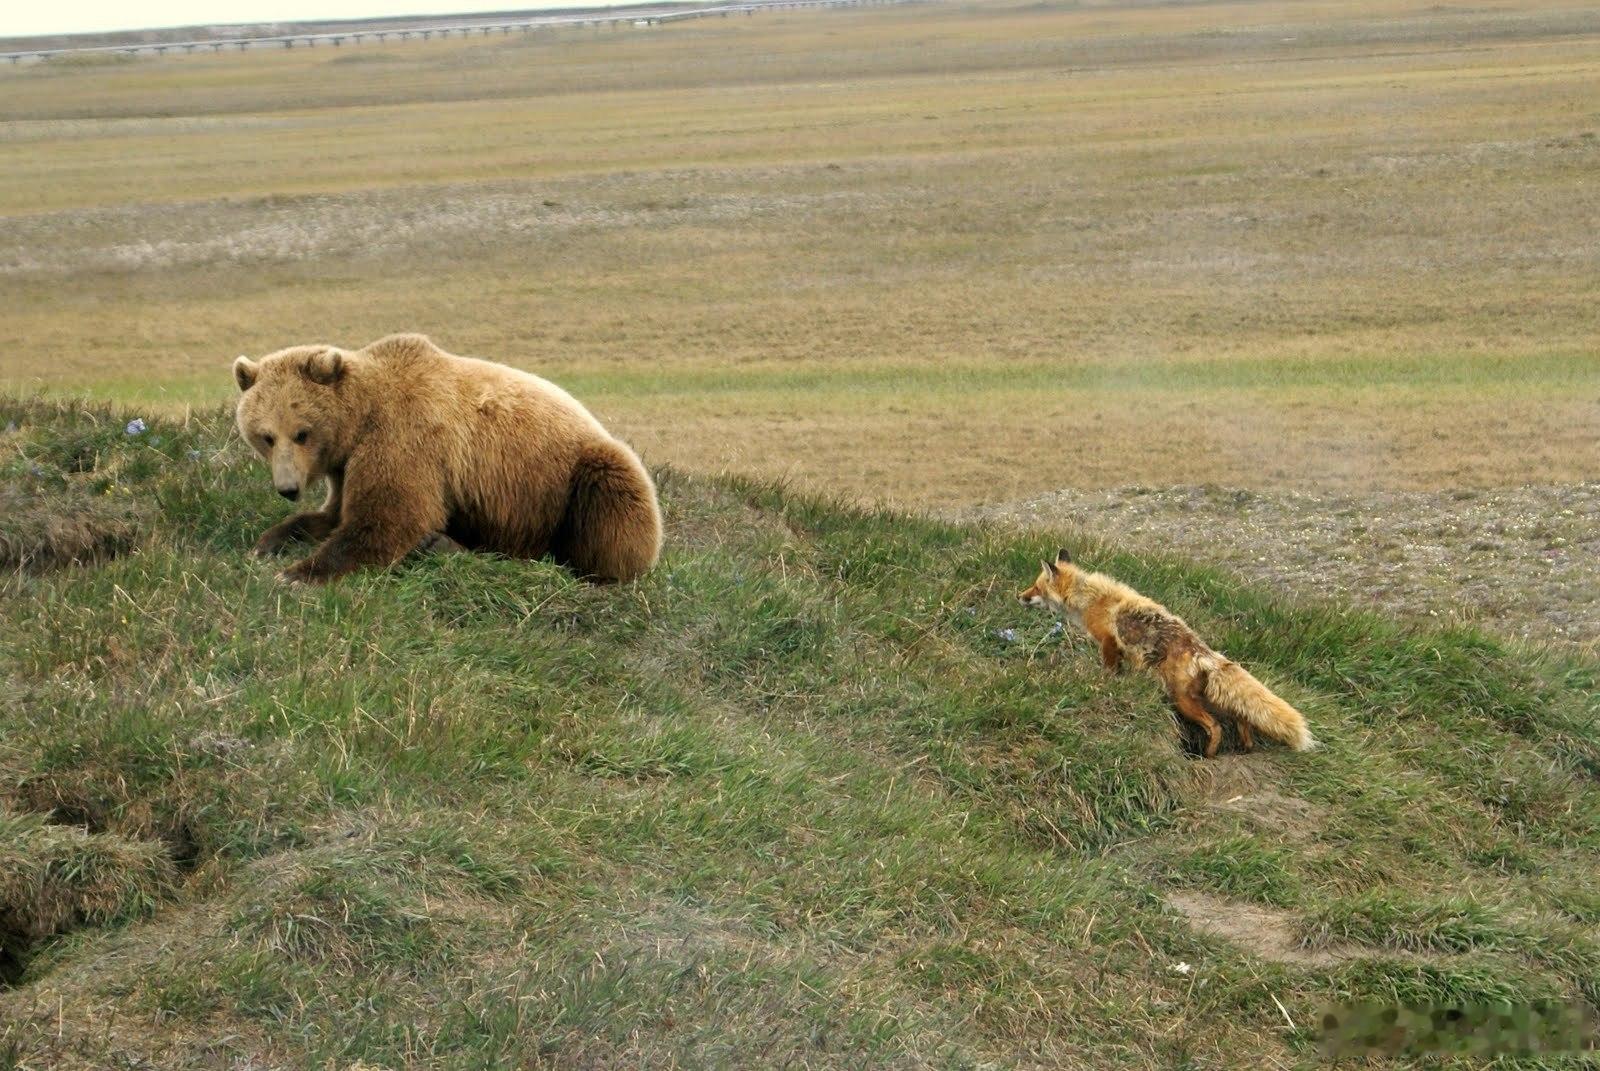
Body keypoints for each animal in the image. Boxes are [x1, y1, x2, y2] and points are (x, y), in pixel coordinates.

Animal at [232, 333, 662, 584]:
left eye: (301, 432)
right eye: (266, 436)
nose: (288, 488)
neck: (360, 418)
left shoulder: (404, 438)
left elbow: (388, 518)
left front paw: (297, 574)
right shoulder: (346, 462)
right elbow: (335, 515)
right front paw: (269, 542)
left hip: (569, 481)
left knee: (610, 498)